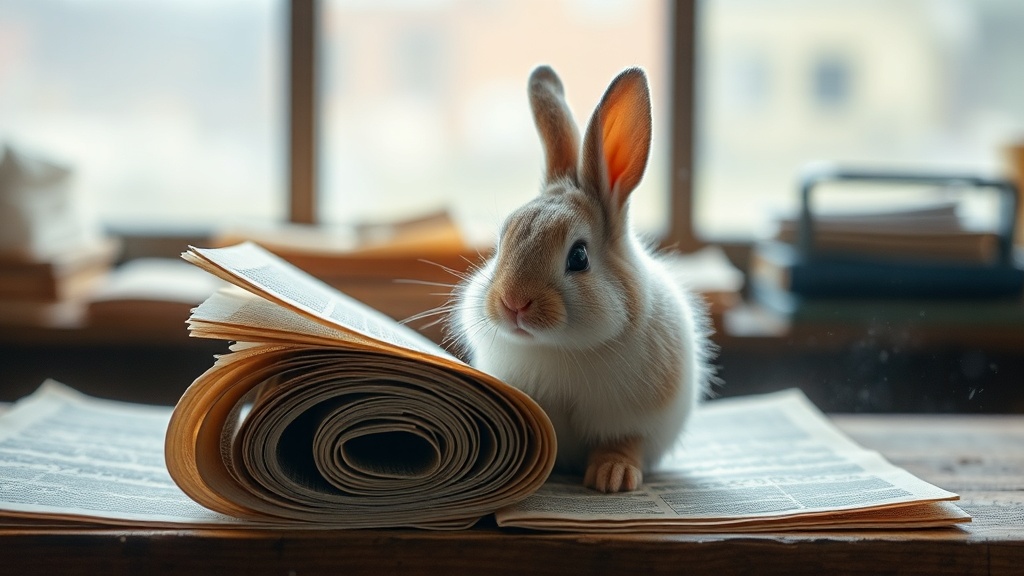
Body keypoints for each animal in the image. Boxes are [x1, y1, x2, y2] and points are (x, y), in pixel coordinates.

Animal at [451, 65, 715, 493]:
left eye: (578, 257)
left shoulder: (633, 420)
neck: (561, 347)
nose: (512, 303)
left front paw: (612, 477)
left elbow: (624, 443)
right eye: (502, 241)